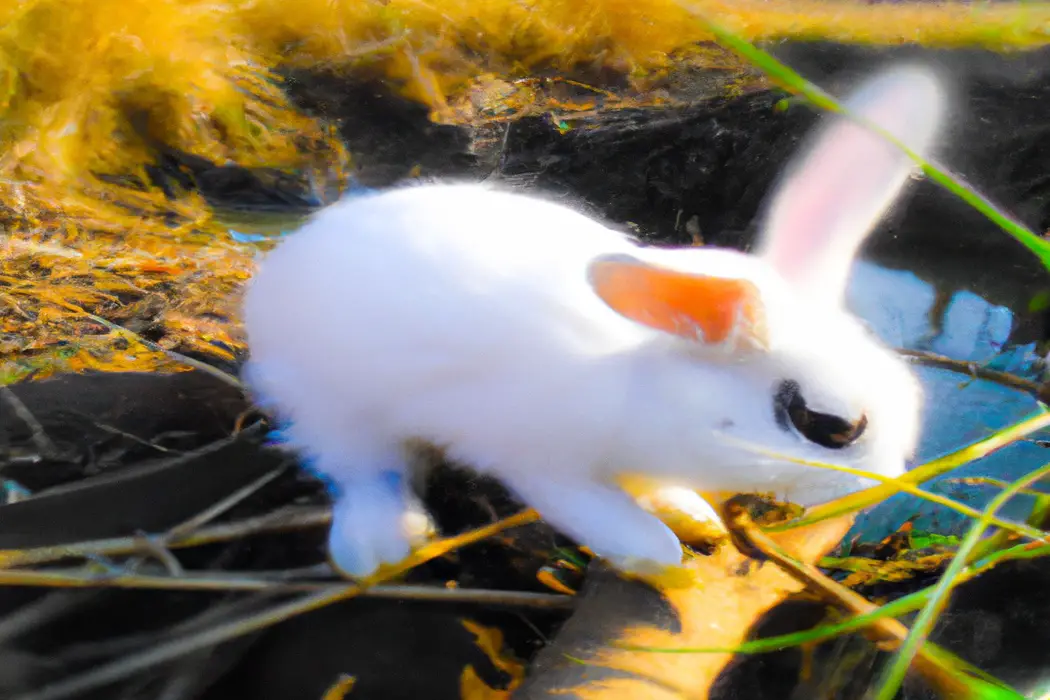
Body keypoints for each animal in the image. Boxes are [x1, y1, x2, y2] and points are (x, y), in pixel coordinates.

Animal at [241, 65, 949, 579]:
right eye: (826, 425)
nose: (888, 480)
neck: (644, 391)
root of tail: (281, 270)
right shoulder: (541, 462)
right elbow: (608, 519)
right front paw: (658, 557)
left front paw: (695, 516)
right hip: (336, 406)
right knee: (361, 469)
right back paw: (381, 544)